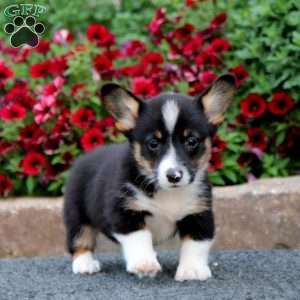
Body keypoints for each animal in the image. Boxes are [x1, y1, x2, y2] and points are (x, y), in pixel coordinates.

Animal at [63, 74, 236, 282]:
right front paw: (144, 264)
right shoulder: (125, 212)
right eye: (153, 143)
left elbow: (196, 243)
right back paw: (85, 264)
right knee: (80, 238)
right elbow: (139, 237)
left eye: (191, 141)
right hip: (76, 212)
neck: (167, 192)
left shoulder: (199, 213)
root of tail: (83, 158)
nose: (174, 176)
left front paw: (192, 270)